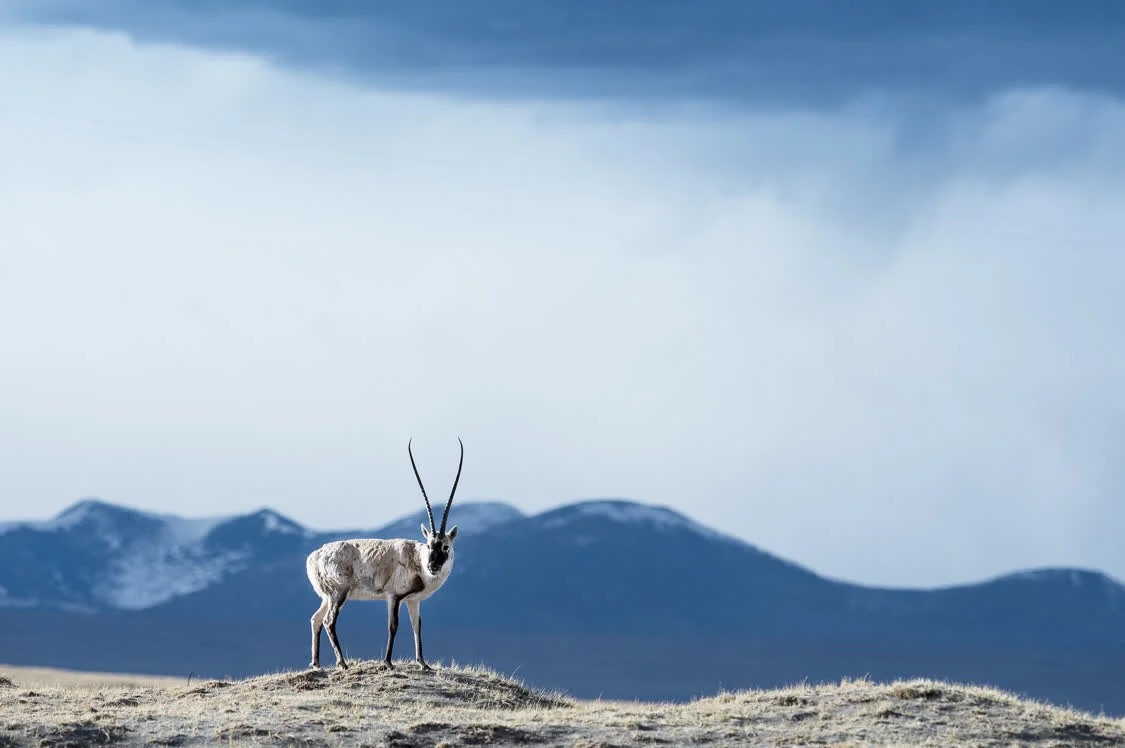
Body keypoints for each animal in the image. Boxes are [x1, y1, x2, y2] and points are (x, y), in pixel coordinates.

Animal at [303, 438, 461, 670]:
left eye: (445, 547)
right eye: (429, 544)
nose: (433, 566)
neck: (417, 559)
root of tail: (314, 557)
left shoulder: (413, 600)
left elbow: (417, 626)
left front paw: (423, 663)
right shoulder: (393, 596)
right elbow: (393, 625)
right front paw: (387, 662)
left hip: (327, 596)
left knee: (315, 619)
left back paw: (316, 664)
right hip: (338, 594)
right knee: (328, 621)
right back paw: (342, 663)